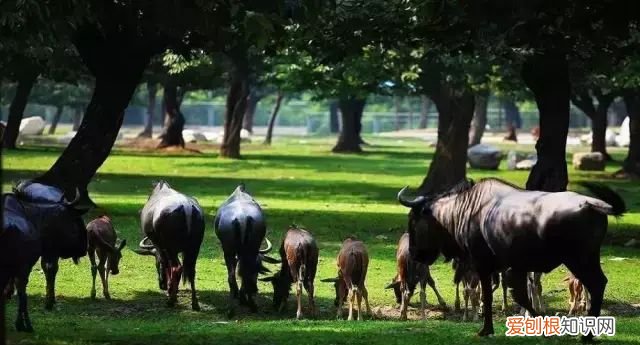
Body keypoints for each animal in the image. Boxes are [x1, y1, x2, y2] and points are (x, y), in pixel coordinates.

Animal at [134, 180, 204, 310]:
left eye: (156, 264)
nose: (162, 285)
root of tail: (186, 207)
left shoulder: (161, 247)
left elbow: (167, 265)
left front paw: (171, 291)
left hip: (172, 248)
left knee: (176, 267)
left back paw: (171, 300)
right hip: (194, 248)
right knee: (191, 271)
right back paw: (195, 303)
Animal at [215, 183, 278, 312]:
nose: (256, 289)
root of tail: (242, 218)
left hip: (229, 250)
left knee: (235, 274)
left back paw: (240, 301)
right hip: (250, 250)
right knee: (243, 273)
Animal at [398, 179, 624, 340]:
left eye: (413, 219)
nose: (414, 253)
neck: (468, 209)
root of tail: (590, 203)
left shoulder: (485, 265)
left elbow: (490, 296)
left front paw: (486, 329)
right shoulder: (514, 267)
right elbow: (522, 295)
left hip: (578, 260)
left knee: (595, 285)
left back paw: (587, 335)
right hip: (588, 259)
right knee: (599, 284)